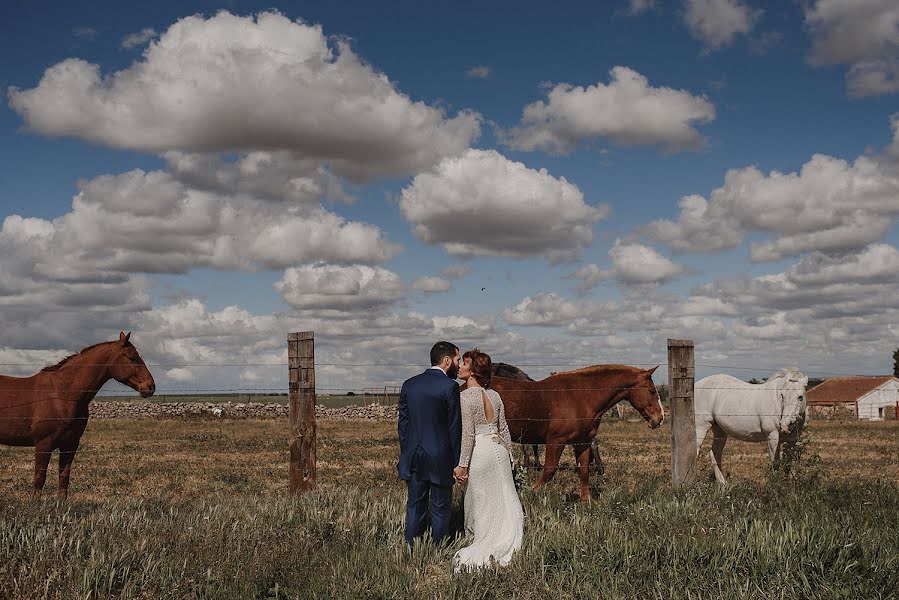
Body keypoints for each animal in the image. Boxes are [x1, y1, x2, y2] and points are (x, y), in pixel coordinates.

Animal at [0, 332, 155, 496]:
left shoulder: (70, 443)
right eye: (132, 358)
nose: (150, 386)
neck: (62, 393)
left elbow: (64, 476)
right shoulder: (43, 443)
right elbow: (39, 478)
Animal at [492, 366, 660, 502]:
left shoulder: (582, 442)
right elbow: (549, 470)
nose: (659, 418)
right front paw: (530, 492)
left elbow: (583, 471)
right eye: (652, 390)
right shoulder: (556, 440)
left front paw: (586, 501)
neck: (579, 396)